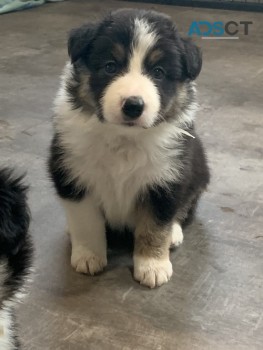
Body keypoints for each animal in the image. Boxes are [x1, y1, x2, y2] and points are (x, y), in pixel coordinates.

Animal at [49, 8, 210, 288]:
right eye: (110, 66)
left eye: (158, 72)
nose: (133, 105)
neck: (124, 137)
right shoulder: (72, 175)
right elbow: (86, 222)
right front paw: (88, 256)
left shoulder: (166, 180)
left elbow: (155, 226)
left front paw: (153, 266)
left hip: (198, 169)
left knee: (184, 209)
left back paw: (174, 233)